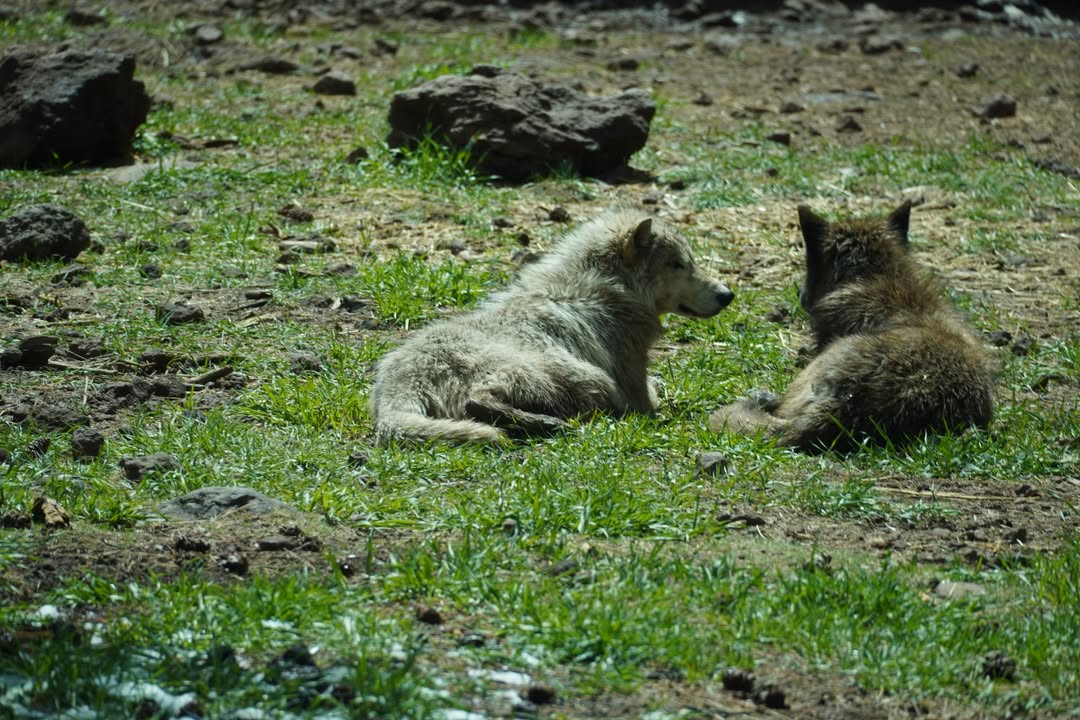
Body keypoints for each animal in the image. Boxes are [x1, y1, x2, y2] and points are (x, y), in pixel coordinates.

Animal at [371, 208, 735, 444]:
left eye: (688, 262)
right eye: (678, 265)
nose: (727, 295)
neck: (607, 286)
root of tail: (398, 385)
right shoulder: (633, 383)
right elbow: (655, 396)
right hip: (582, 378)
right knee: (477, 401)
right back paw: (546, 423)